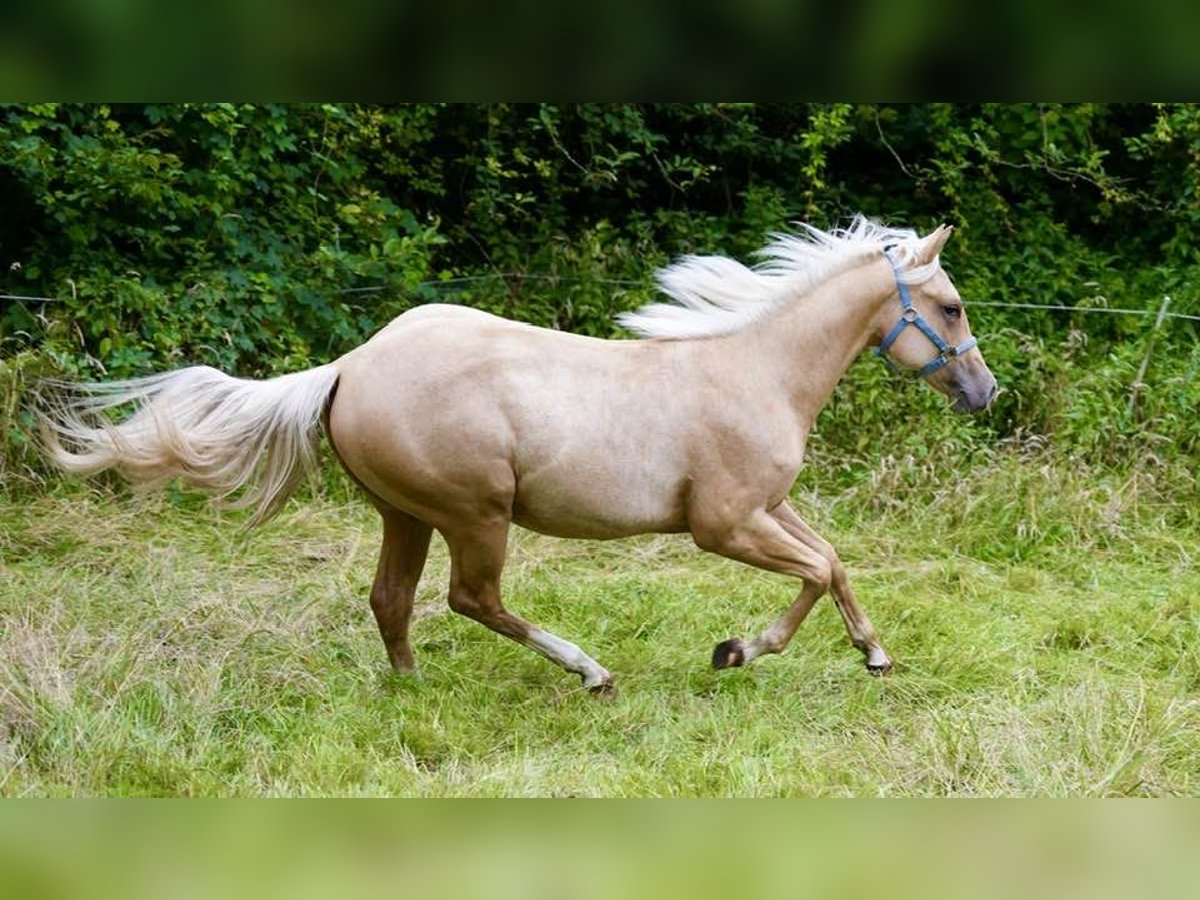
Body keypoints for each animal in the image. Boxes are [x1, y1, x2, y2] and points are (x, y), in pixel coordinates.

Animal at [39, 216, 997, 694]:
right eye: (949, 307)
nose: (985, 393)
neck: (756, 369)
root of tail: (350, 364)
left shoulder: (767, 507)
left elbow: (832, 561)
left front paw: (873, 655)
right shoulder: (723, 524)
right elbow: (814, 572)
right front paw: (738, 651)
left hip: (405, 513)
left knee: (391, 599)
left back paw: (413, 688)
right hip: (475, 514)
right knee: (472, 599)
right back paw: (590, 671)